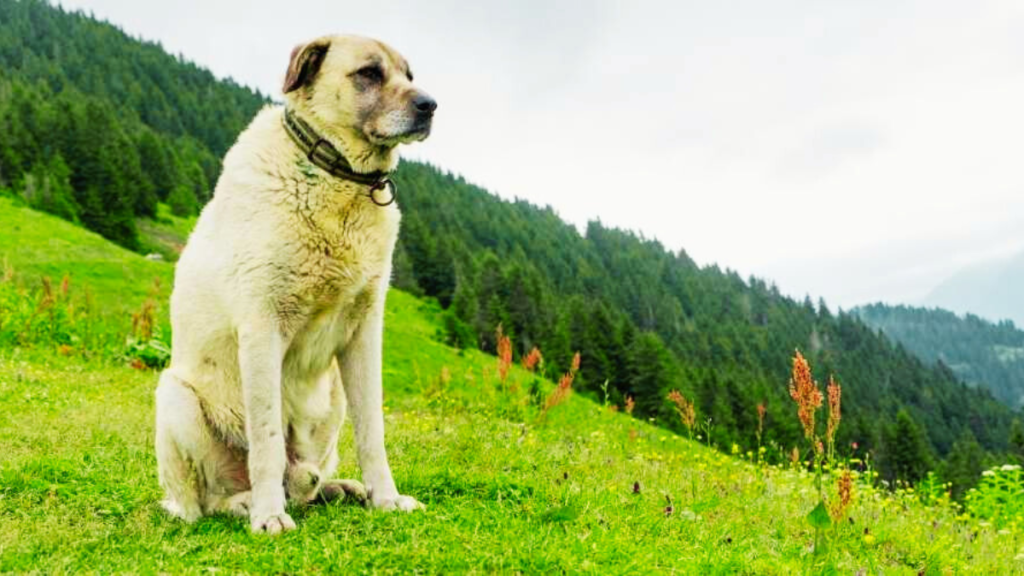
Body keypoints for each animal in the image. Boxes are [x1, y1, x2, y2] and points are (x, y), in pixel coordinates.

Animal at [152, 33, 436, 532]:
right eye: (369, 73)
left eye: (408, 75)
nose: (430, 106)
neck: (336, 177)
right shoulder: (262, 328)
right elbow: (266, 440)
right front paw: (268, 516)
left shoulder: (364, 333)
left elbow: (373, 432)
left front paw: (386, 498)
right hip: (174, 398)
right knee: (203, 504)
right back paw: (245, 503)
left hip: (332, 399)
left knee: (305, 483)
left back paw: (337, 489)